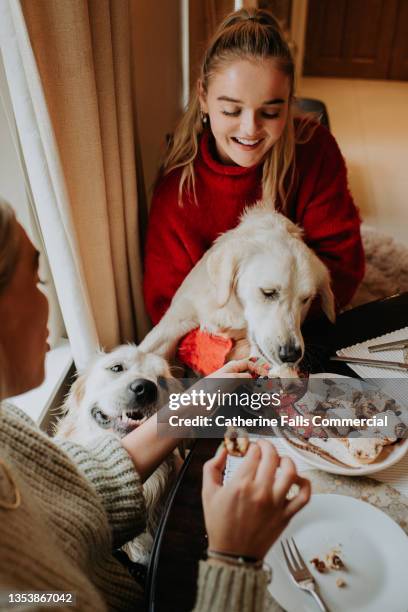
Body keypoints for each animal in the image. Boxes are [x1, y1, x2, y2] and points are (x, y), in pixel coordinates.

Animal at [140, 202, 334, 372]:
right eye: (268, 292)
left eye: (306, 300)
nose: (292, 355)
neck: (232, 310)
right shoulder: (180, 314)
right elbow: (147, 347)